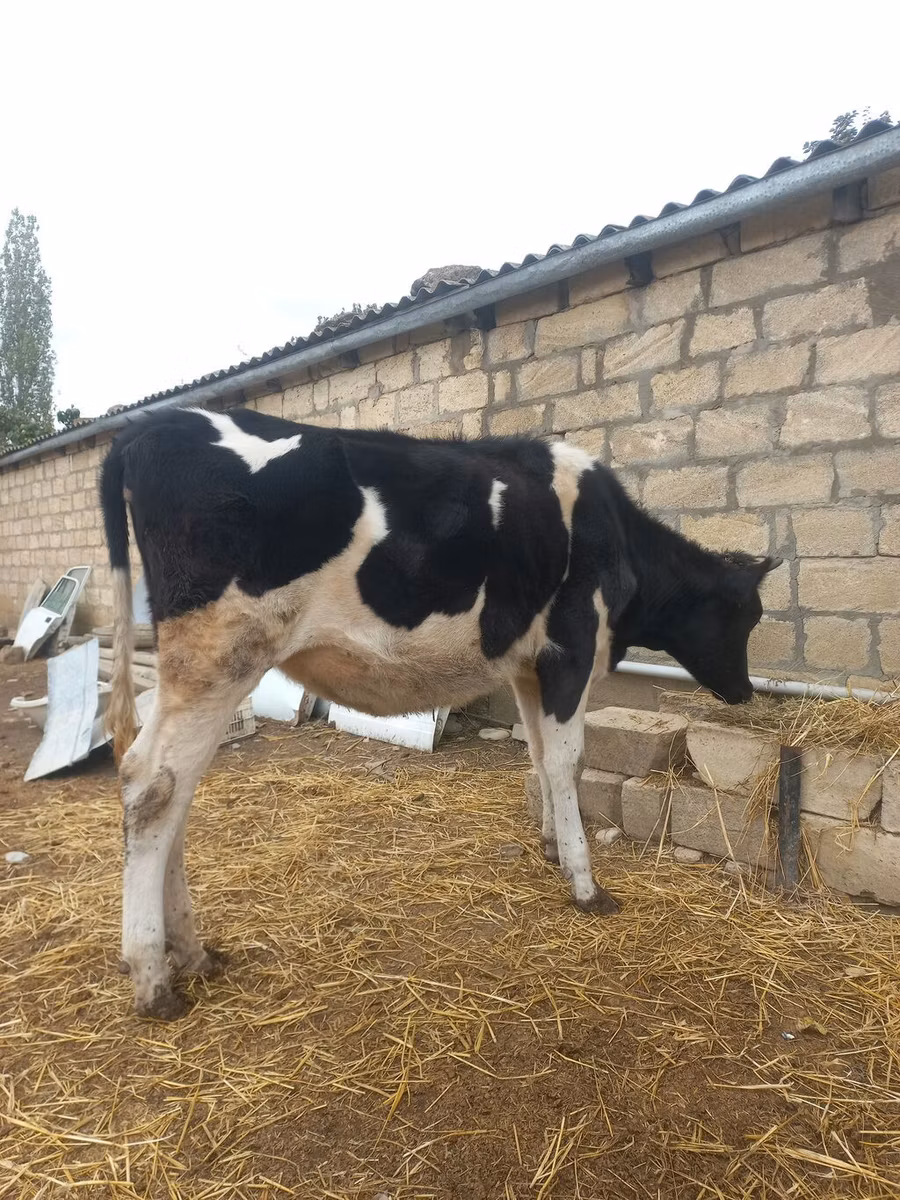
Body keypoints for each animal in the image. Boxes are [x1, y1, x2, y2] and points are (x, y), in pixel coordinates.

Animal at [100, 405, 781, 1019]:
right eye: (747, 614)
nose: (746, 692)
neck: (615, 540)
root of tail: (151, 425)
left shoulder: (527, 663)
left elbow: (540, 757)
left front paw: (552, 846)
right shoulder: (572, 646)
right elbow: (568, 762)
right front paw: (586, 884)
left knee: (174, 790)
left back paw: (192, 953)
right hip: (220, 652)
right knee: (153, 784)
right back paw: (155, 979)